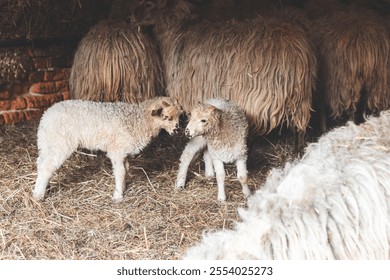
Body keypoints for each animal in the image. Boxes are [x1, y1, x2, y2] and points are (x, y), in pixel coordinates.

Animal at [33, 96, 183, 201]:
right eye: (166, 117)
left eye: (178, 116)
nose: (177, 131)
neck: (138, 120)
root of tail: (46, 117)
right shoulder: (117, 151)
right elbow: (121, 172)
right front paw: (118, 196)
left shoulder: (124, 151)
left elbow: (126, 169)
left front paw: (123, 188)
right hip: (60, 143)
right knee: (47, 167)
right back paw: (39, 195)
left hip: (47, 143)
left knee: (41, 163)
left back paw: (40, 189)